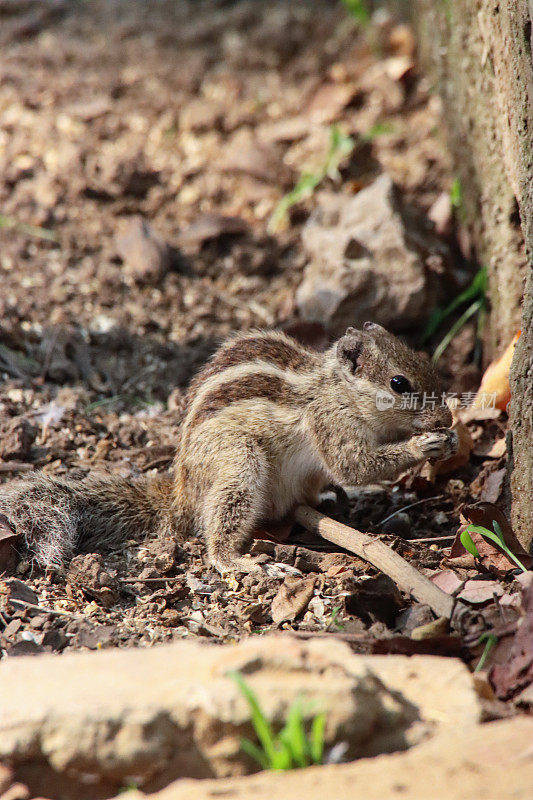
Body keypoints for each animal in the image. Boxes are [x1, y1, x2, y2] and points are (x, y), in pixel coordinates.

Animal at [0, 322, 458, 580]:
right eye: (399, 383)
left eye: (426, 362)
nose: (447, 418)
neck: (336, 388)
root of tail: (181, 498)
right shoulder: (331, 423)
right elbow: (355, 466)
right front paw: (424, 444)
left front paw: (448, 440)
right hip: (239, 464)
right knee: (217, 534)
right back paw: (238, 561)